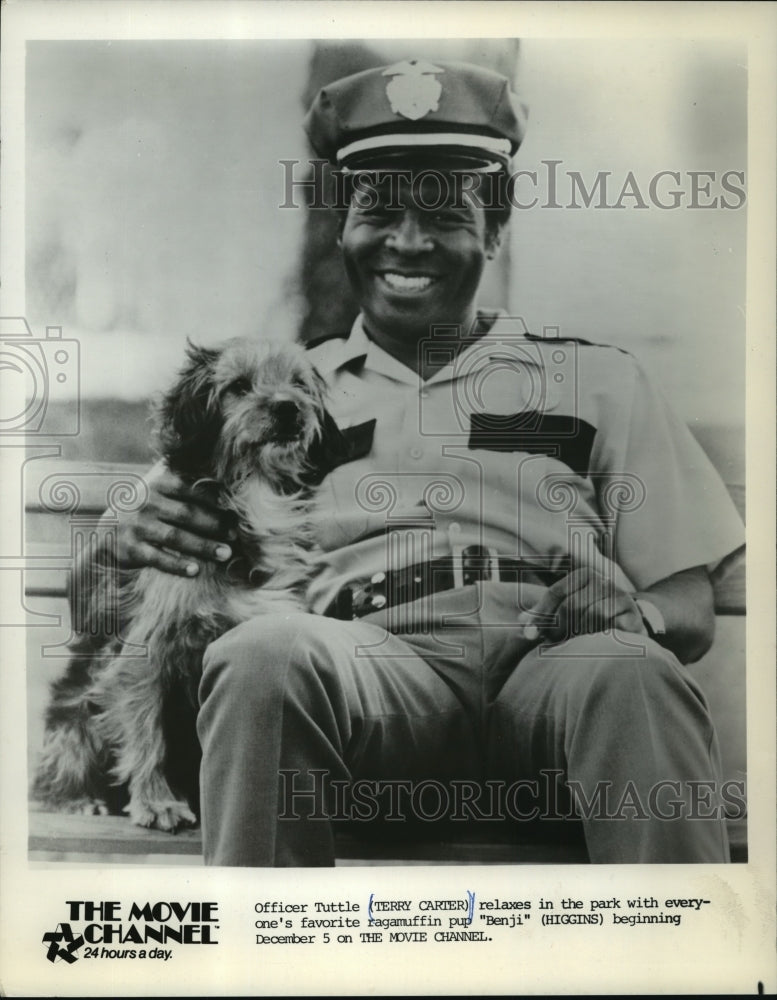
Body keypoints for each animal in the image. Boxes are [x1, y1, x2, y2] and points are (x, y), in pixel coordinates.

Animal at [32, 336, 330, 828]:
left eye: (299, 383)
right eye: (238, 386)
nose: (289, 408)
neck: (252, 494)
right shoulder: (144, 652)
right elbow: (147, 732)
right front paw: (157, 802)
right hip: (76, 711)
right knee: (56, 765)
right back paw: (75, 799)